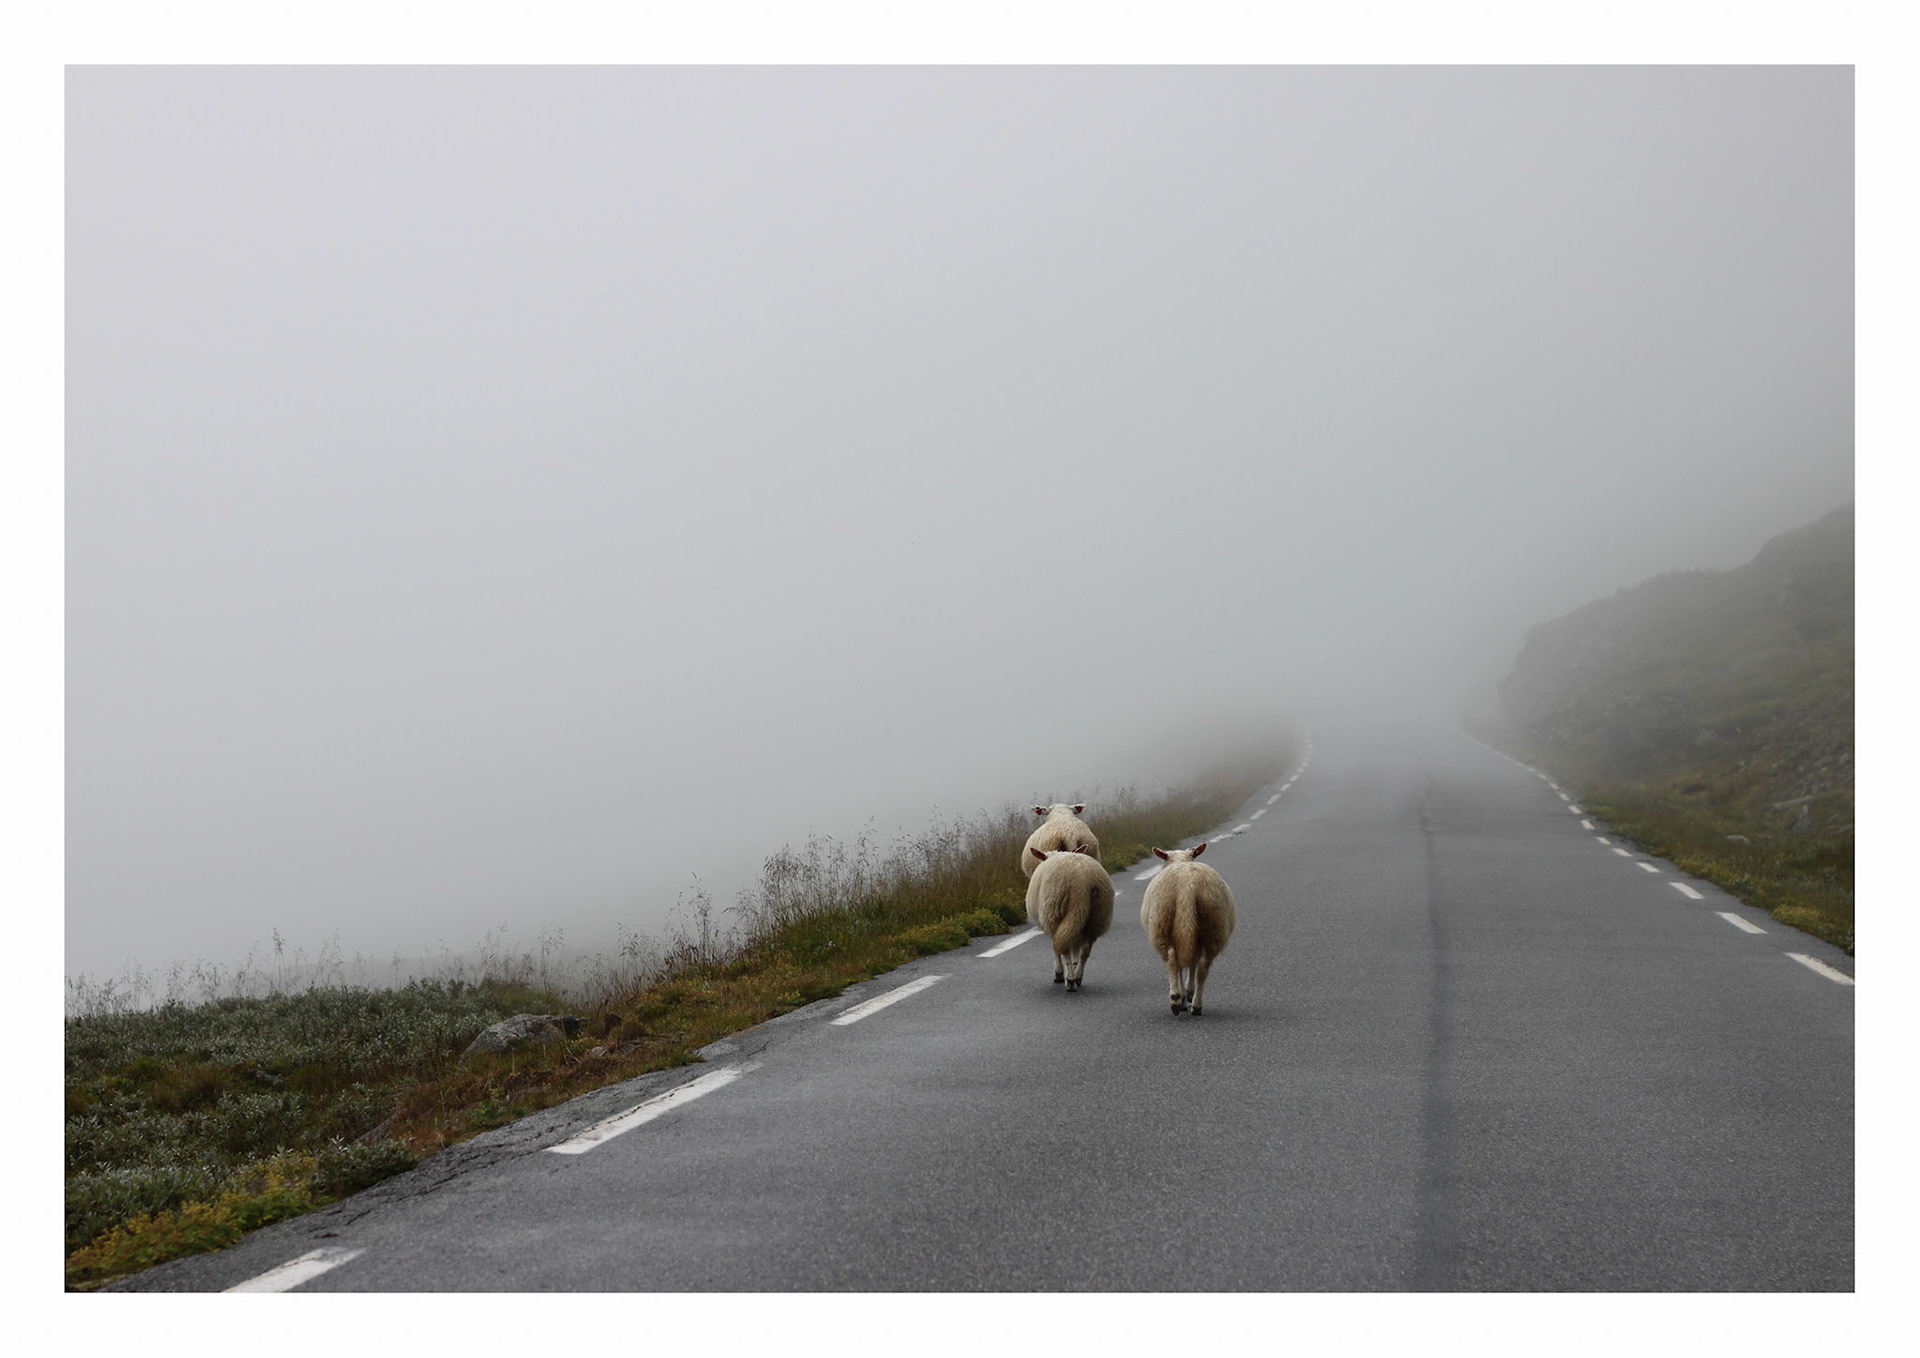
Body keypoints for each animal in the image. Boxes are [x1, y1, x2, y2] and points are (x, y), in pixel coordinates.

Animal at [1024, 844, 1115, 992]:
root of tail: (1082, 883)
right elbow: (1076, 949)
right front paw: (1074, 965)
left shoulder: (1053, 921)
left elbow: (1057, 949)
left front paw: (1059, 973)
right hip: (1096, 916)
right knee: (1085, 951)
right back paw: (1077, 976)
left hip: (1057, 911)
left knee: (1064, 949)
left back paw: (1070, 981)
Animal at [1139, 843, 1236, 1016]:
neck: (1181, 861)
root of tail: (1187, 886)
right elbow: (1192, 963)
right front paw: (1188, 993)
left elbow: (1181, 965)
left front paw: (1184, 996)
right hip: (1212, 926)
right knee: (1202, 966)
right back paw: (1196, 1005)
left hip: (1161, 925)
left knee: (1172, 960)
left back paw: (1176, 1000)